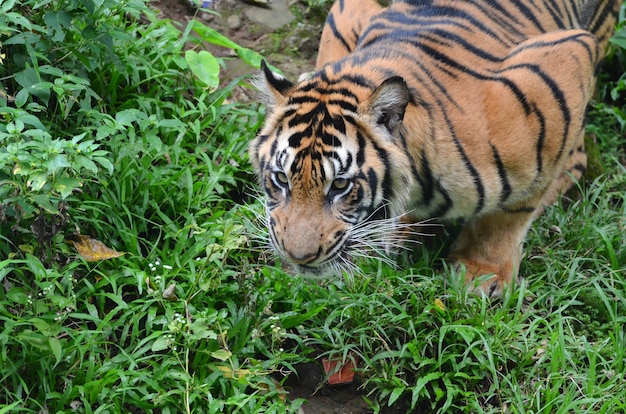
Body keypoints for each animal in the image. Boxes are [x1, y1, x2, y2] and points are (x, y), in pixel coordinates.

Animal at [247, 0, 620, 298]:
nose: (298, 257)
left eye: (340, 185)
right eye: (281, 179)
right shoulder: (343, 12)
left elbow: (509, 213)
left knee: (577, 159)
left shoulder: (562, 63)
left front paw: (480, 272)